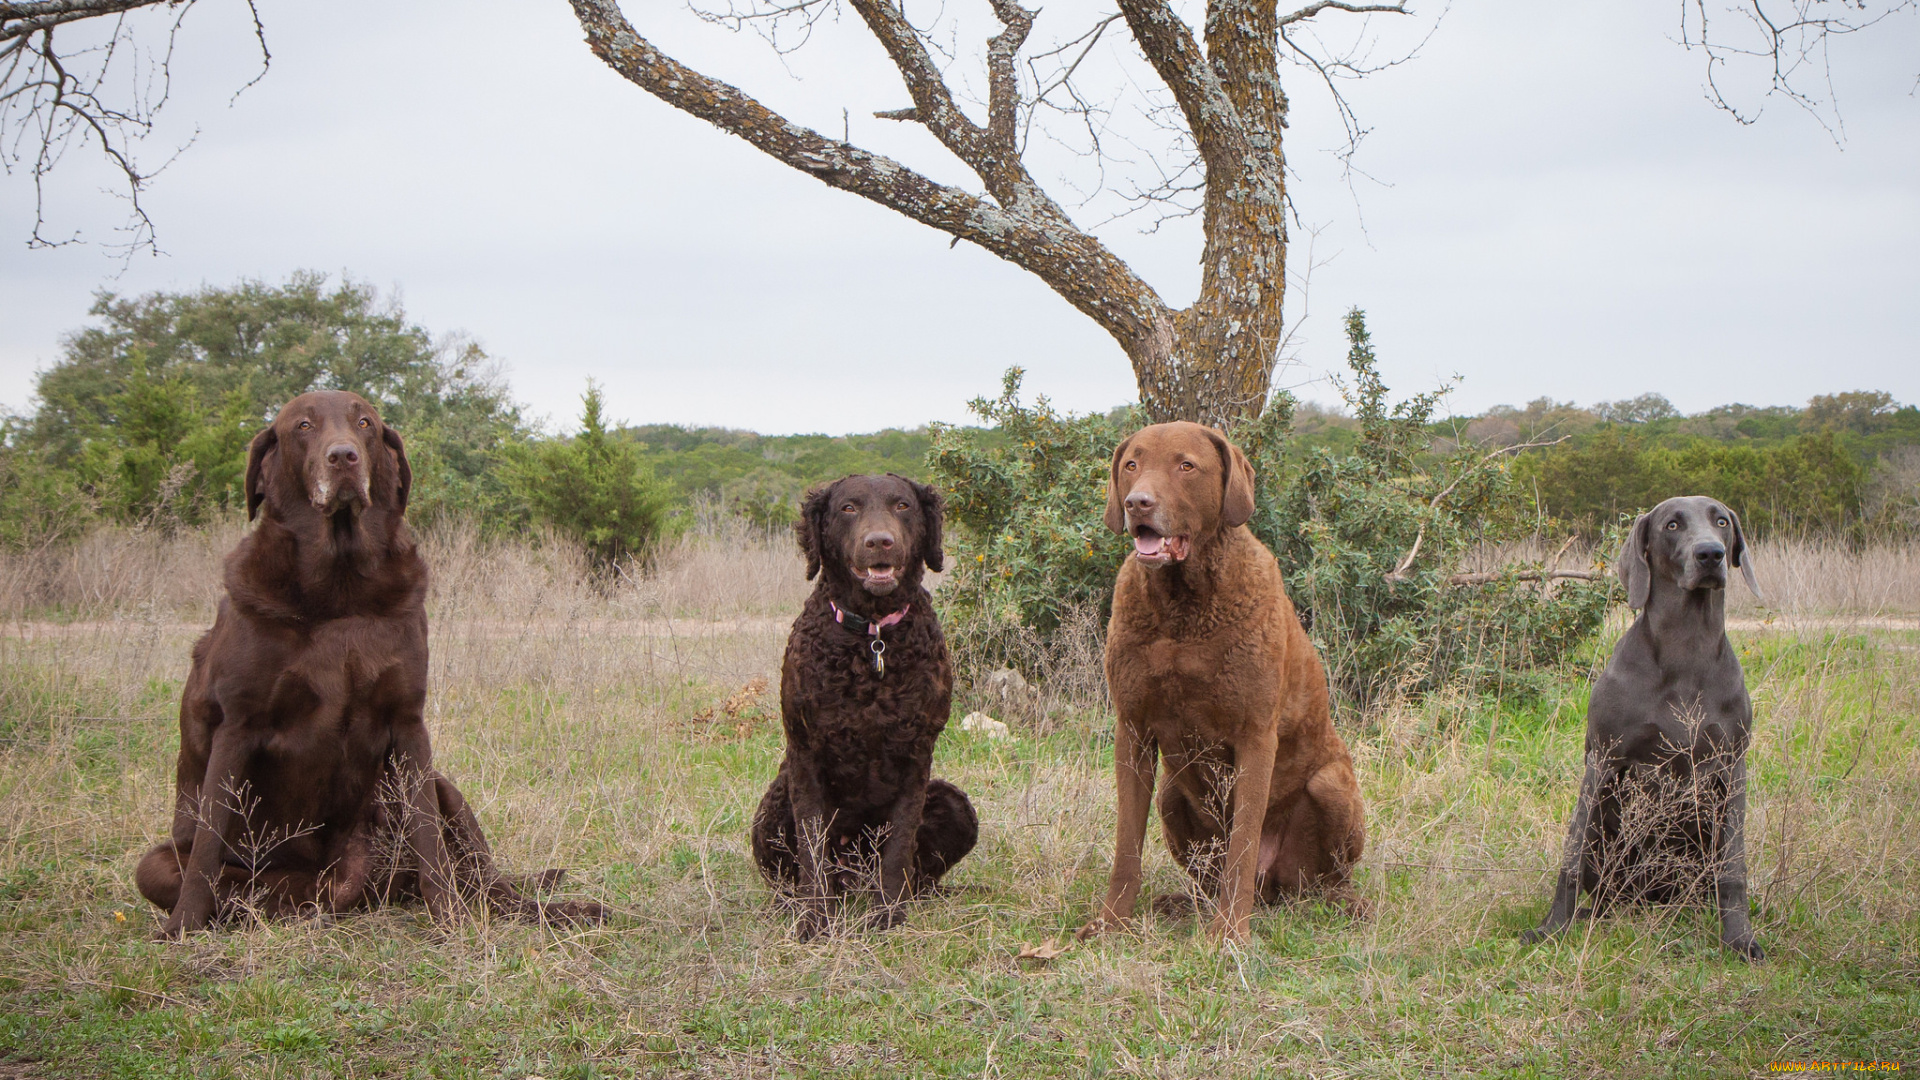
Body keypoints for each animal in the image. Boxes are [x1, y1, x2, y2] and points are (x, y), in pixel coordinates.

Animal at [137, 388, 599, 933]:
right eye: (303, 426)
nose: (343, 457)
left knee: (491, 886)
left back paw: (566, 910)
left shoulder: (408, 722)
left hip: (447, 791)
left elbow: (428, 840)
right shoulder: (237, 727)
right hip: (178, 863)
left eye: (365, 424)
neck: (339, 589)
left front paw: (449, 919)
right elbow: (207, 848)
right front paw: (182, 927)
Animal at [752, 470, 983, 933]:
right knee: (795, 874)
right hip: (772, 809)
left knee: (916, 873)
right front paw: (814, 921)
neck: (873, 637)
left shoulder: (917, 754)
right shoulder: (806, 754)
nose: (880, 542)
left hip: (954, 803)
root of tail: (853, 877)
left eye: (902, 505)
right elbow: (811, 848)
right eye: (848, 507)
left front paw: (888, 916)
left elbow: (898, 845)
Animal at [1082, 417, 1367, 937]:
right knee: (1207, 876)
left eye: (1186, 466)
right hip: (1170, 795)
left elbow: (1243, 843)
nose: (1137, 503)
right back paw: (1182, 903)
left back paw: (1342, 904)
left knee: (1316, 879)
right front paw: (1111, 923)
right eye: (1131, 464)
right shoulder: (1132, 731)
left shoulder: (1255, 736)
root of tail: (1272, 890)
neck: (1182, 611)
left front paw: (1229, 933)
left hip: (1332, 785)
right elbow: (1126, 844)